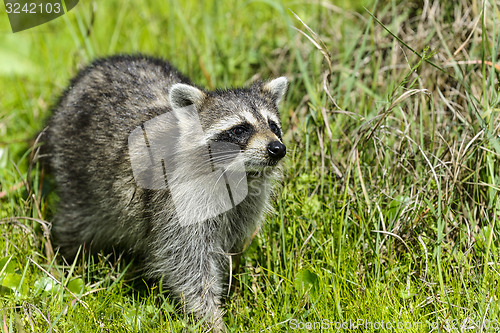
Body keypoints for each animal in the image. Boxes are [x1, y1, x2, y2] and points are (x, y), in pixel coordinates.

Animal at [45, 54, 288, 330]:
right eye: (240, 129)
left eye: (273, 126)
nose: (277, 149)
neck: (239, 175)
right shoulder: (177, 205)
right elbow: (187, 264)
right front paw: (211, 318)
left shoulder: (244, 208)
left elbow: (229, 250)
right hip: (76, 173)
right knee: (76, 224)